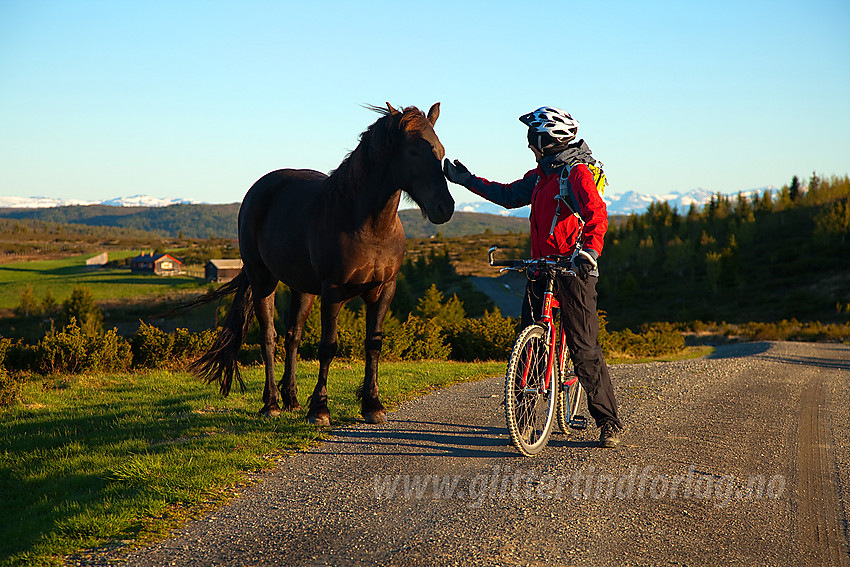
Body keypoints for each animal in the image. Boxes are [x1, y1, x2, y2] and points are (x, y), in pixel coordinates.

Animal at [183, 103, 454, 426]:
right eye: (413, 152)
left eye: (440, 151)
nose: (445, 208)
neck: (370, 226)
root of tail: (259, 189)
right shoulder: (333, 290)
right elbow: (328, 347)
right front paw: (320, 410)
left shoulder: (384, 290)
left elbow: (373, 344)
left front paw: (372, 405)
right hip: (263, 280)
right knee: (269, 337)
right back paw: (271, 403)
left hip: (301, 288)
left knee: (292, 337)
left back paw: (292, 400)